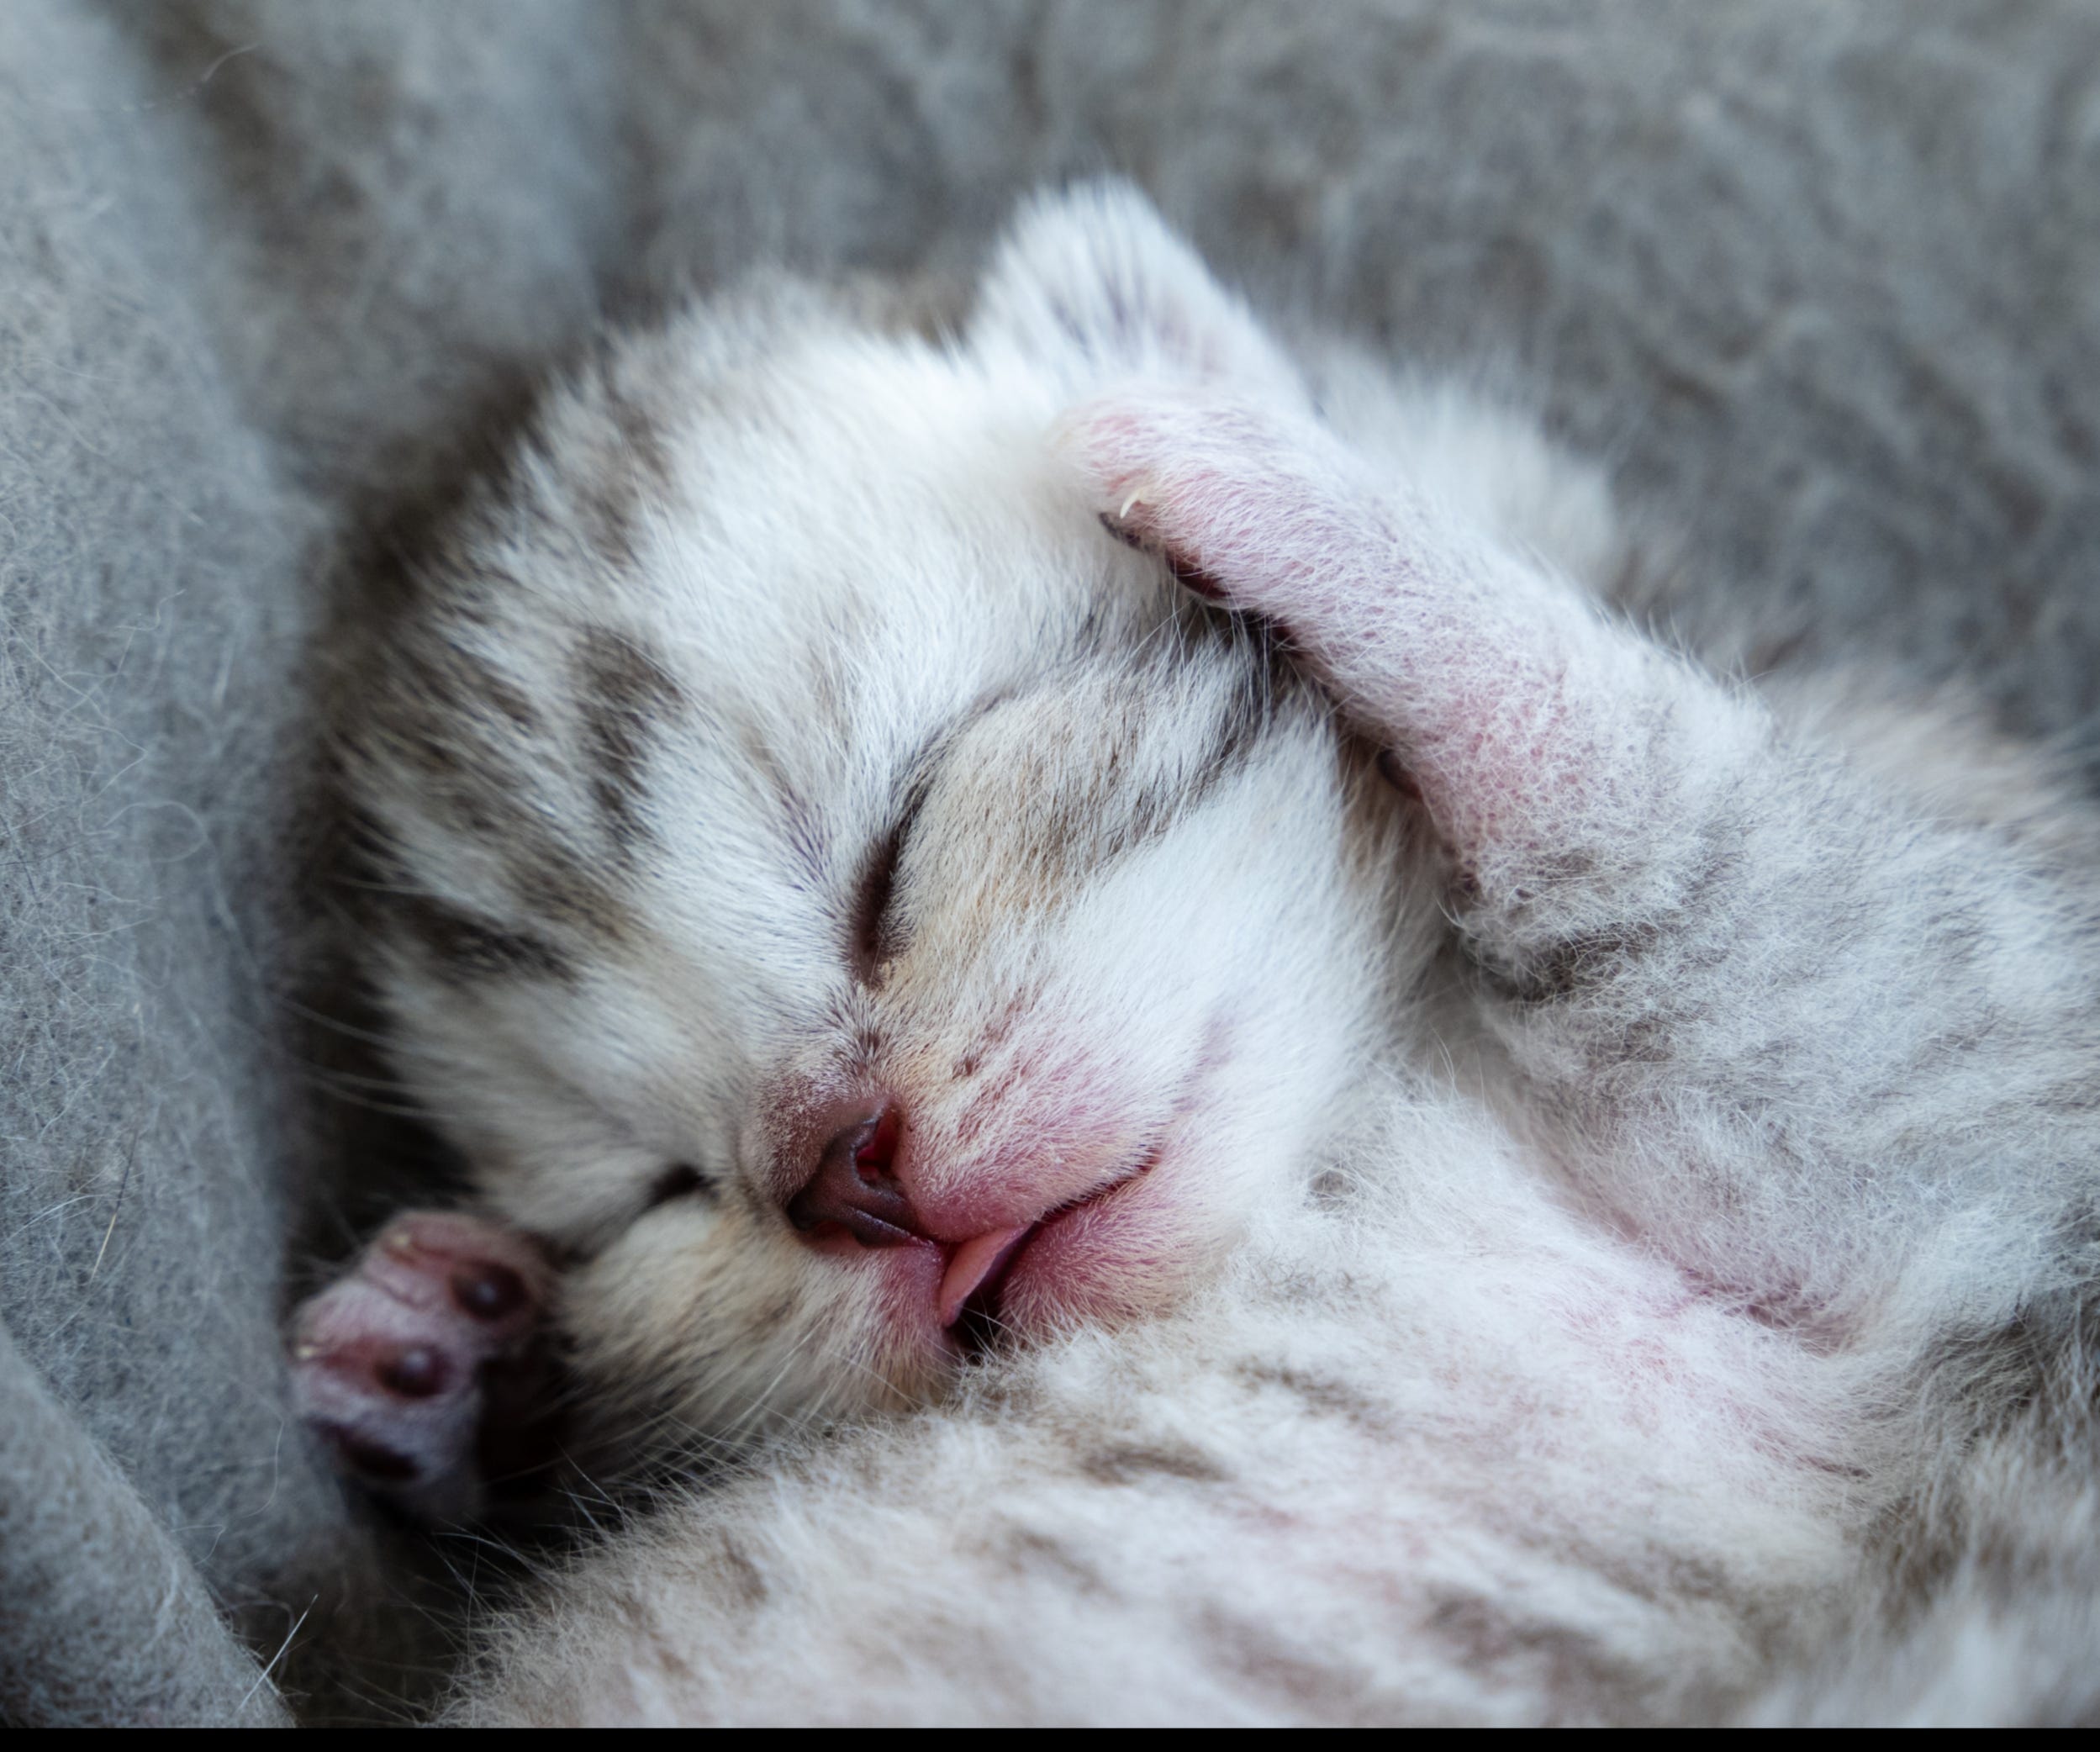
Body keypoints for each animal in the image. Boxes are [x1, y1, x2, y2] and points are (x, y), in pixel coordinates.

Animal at [291, 183, 2100, 1722]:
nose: (848, 1172)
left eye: (894, 849)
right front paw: (478, 1358)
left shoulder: (2008, 1065)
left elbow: (1714, 858)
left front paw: (1284, 491)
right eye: (655, 1190)